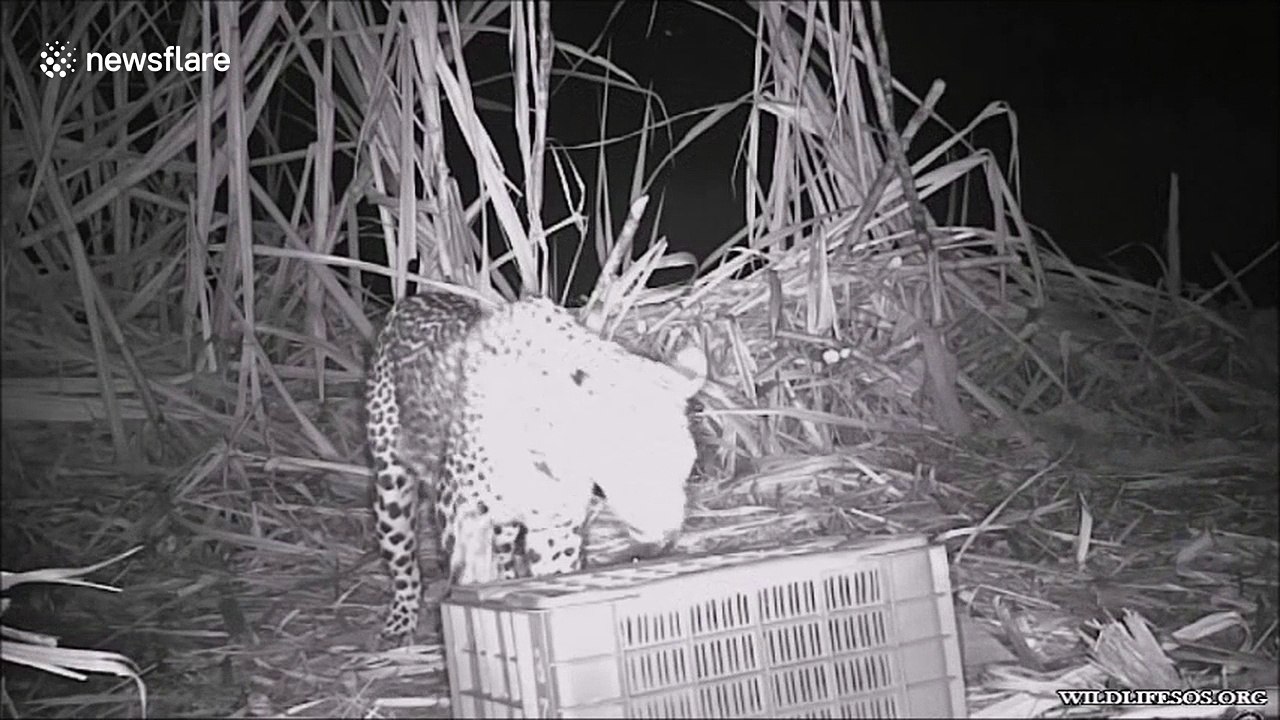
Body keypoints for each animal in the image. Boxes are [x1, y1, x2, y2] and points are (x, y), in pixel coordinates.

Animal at [365, 290, 708, 641]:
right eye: (634, 465)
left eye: (685, 468)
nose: (668, 535)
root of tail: (414, 297)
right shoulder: (460, 508)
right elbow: (469, 576)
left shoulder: (556, 523)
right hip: (390, 481)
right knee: (401, 555)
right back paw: (400, 621)